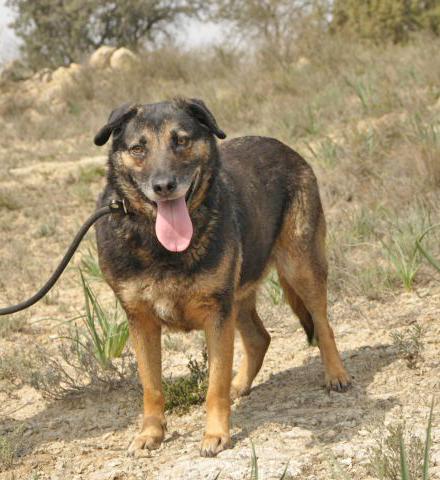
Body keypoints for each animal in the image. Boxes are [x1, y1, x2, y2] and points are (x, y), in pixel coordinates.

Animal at [93, 98, 350, 458]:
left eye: (181, 140)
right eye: (137, 148)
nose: (164, 186)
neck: (161, 247)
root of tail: (284, 147)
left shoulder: (216, 315)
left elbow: (214, 385)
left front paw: (216, 434)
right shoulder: (141, 321)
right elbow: (151, 386)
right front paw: (150, 433)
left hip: (300, 268)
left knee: (322, 324)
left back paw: (336, 374)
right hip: (238, 297)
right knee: (259, 338)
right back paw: (239, 384)